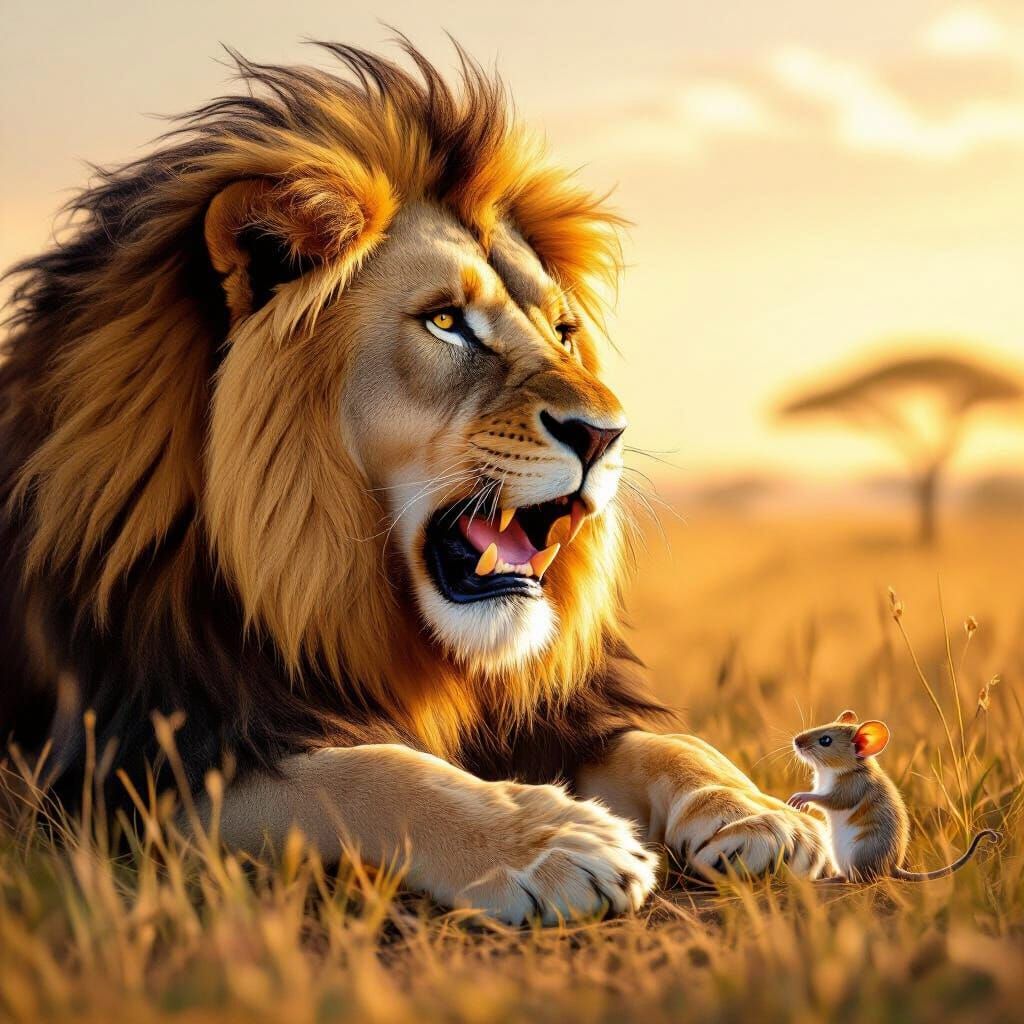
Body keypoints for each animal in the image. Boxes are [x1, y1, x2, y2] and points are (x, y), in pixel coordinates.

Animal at [0, 40, 829, 922]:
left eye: (563, 330)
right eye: (444, 321)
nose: (606, 435)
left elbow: (668, 740)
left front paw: (762, 813)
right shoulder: (127, 771)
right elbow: (366, 773)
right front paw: (551, 842)